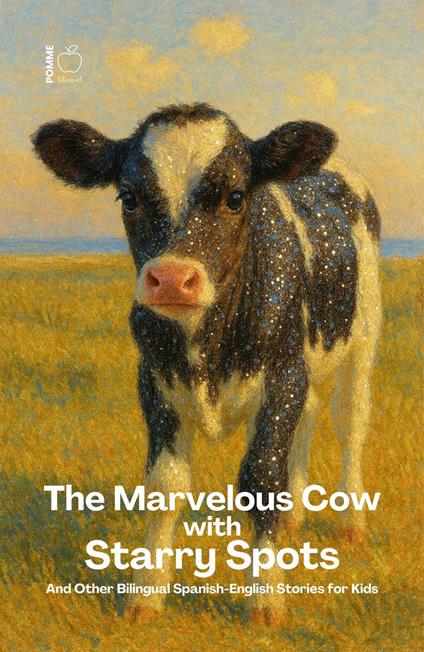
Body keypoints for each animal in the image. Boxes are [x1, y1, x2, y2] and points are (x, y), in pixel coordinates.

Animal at [32, 102, 381, 626]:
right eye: (128, 197)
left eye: (236, 197)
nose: (173, 278)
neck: (207, 352)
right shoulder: (153, 381)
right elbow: (164, 485)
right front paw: (146, 594)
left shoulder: (282, 375)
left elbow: (262, 477)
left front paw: (266, 597)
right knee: (309, 418)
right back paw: (294, 519)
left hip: (361, 342)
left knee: (350, 427)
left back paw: (351, 522)